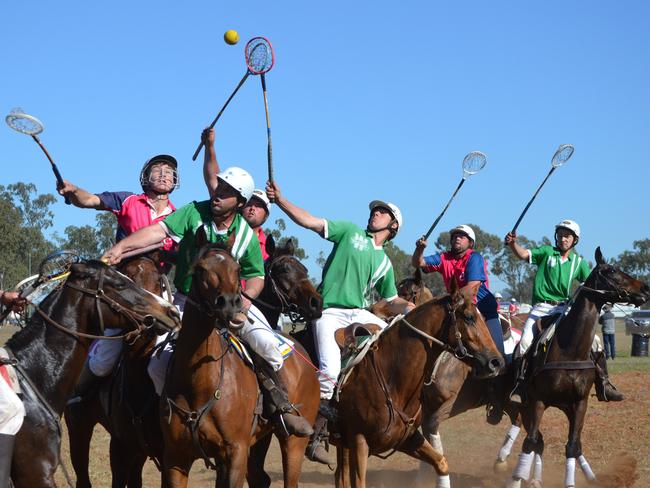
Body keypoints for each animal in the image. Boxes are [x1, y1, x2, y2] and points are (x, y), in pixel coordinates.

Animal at [330, 280, 502, 486]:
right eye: (469, 317)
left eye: (477, 317)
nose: (496, 362)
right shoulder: (359, 441)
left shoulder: (410, 435)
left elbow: (440, 460)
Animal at [506, 248, 648, 488]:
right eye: (611, 271)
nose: (644, 288)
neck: (569, 349)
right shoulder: (538, 401)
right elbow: (531, 441)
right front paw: (516, 479)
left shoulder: (580, 402)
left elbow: (573, 445)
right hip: (530, 405)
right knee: (536, 440)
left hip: (568, 406)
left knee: (574, 444)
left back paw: (592, 478)